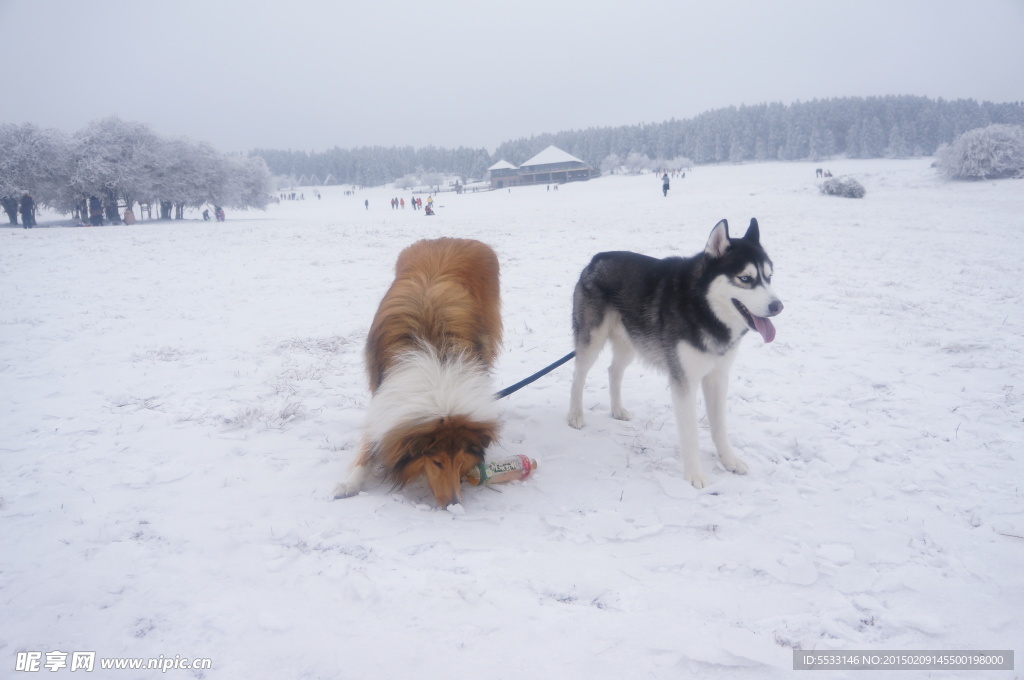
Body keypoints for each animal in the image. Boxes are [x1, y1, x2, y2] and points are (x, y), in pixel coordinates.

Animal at [331, 236, 503, 507]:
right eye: (436, 461)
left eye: (459, 459)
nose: (454, 503)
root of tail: (450, 238)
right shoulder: (382, 392)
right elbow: (369, 444)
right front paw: (350, 483)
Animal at [569, 219, 782, 489]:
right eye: (745, 278)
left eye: (769, 277)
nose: (778, 306)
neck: (704, 308)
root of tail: (597, 258)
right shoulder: (684, 381)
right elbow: (690, 432)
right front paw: (695, 475)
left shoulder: (718, 377)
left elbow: (719, 426)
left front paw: (729, 460)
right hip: (592, 341)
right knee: (578, 376)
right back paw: (575, 415)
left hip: (631, 344)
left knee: (613, 371)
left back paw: (617, 409)